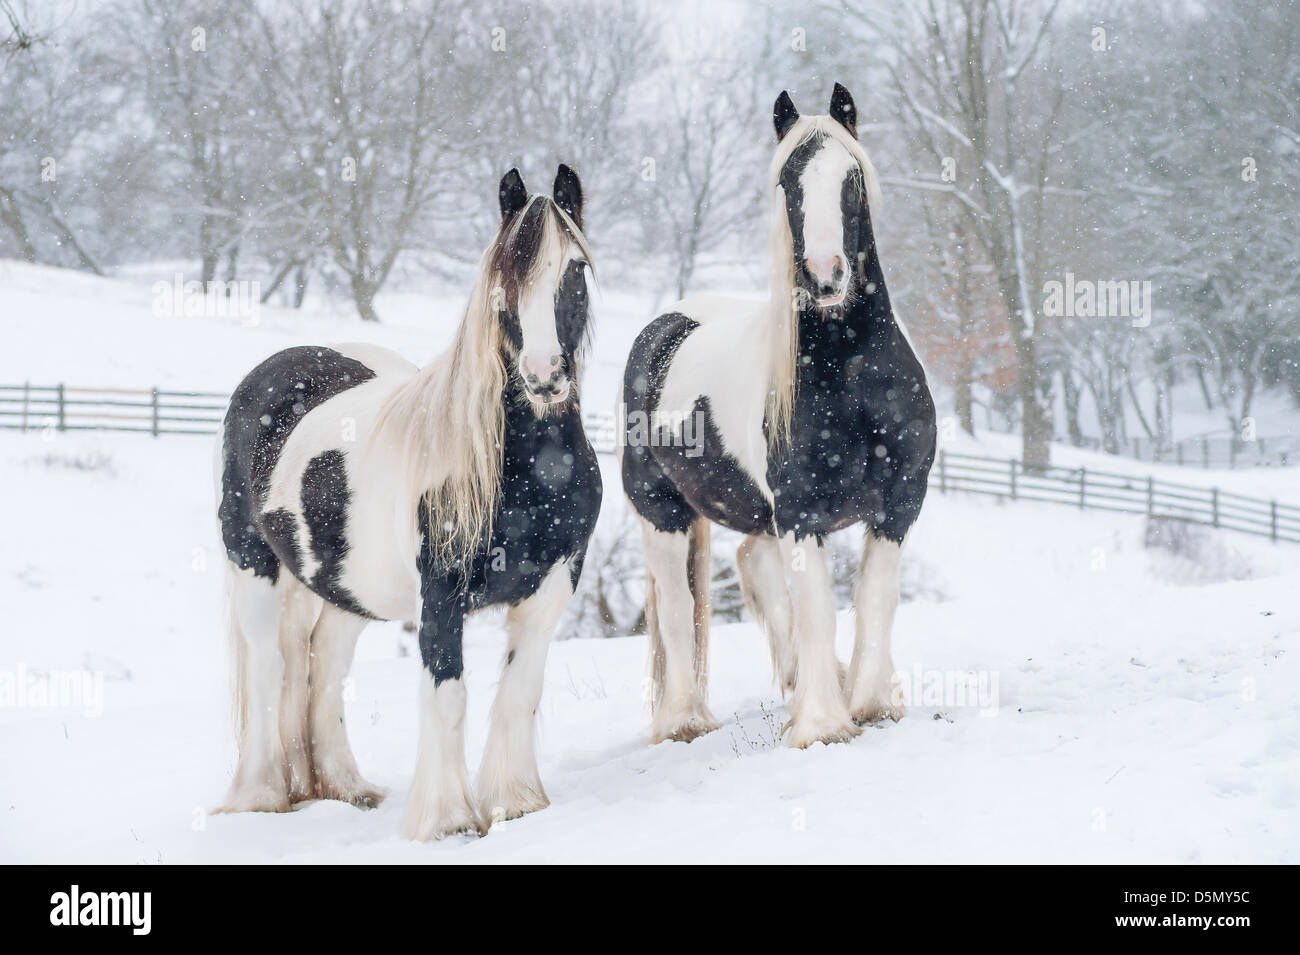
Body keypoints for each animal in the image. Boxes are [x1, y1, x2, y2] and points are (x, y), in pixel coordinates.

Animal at [215, 167, 600, 841]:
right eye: (504, 279)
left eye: (574, 269)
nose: (544, 375)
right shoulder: (441, 596)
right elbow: (448, 697)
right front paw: (447, 820)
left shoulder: (552, 588)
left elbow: (518, 692)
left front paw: (515, 803)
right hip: (254, 569)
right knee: (268, 668)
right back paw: (260, 798)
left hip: (347, 591)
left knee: (322, 666)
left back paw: (346, 788)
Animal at [618, 85, 935, 748]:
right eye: (788, 183)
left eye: (850, 179)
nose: (825, 276)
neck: (852, 376)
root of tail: (666, 326)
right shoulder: (801, 511)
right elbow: (818, 607)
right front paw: (824, 725)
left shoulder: (900, 502)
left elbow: (876, 598)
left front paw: (872, 701)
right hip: (663, 514)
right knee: (677, 606)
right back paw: (685, 719)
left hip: (754, 514)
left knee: (753, 565)